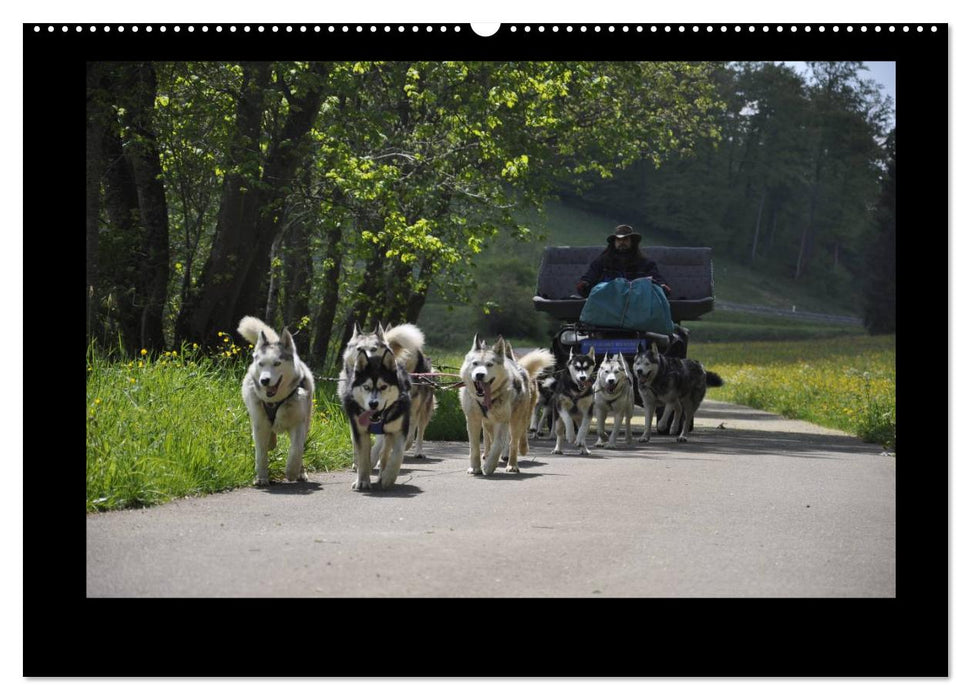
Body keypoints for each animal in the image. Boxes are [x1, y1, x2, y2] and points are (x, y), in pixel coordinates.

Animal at [236, 318, 316, 486]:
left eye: (277, 363)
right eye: (261, 364)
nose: (264, 380)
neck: (275, 401)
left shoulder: (299, 423)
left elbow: (296, 450)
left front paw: (292, 471)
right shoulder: (259, 425)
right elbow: (261, 454)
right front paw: (261, 477)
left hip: (306, 420)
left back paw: (300, 472)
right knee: (270, 442)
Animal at [344, 348, 412, 490]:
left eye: (384, 387)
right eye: (366, 387)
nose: (373, 404)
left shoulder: (400, 430)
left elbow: (397, 454)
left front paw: (389, 477)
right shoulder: (360, 431)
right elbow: (363, 457)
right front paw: (362, 481)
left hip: (388, 434)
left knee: (384, 453)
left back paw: (382, 474)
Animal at [462, 334, 556, 476]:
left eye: (489, 364)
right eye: (475, 363)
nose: (479, 375)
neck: (487, 399)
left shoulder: (502, 421)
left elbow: (499, 444)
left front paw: (489, 466)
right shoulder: (474, 420)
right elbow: (475, 447)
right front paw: (475, 468)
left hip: (517, 418)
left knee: (515, 441)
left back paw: (513, 462)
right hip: (490, 423)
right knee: (493, 438)